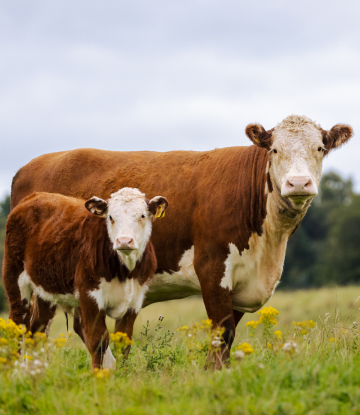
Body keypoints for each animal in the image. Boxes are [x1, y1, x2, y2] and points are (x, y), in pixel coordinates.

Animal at [2, 188, 168, 370]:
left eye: (142, 216)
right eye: (111, 217)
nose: (124, 241)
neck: (125, 271)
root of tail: (36, 195)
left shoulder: (135, 300)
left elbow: (123, 343)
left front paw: (122, 373)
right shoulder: (90, 294)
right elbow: (98, 340)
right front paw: (97, 374)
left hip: (45, 290)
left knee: (37, 330)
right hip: (15, 278)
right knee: (17, 324)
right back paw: (12, 371)